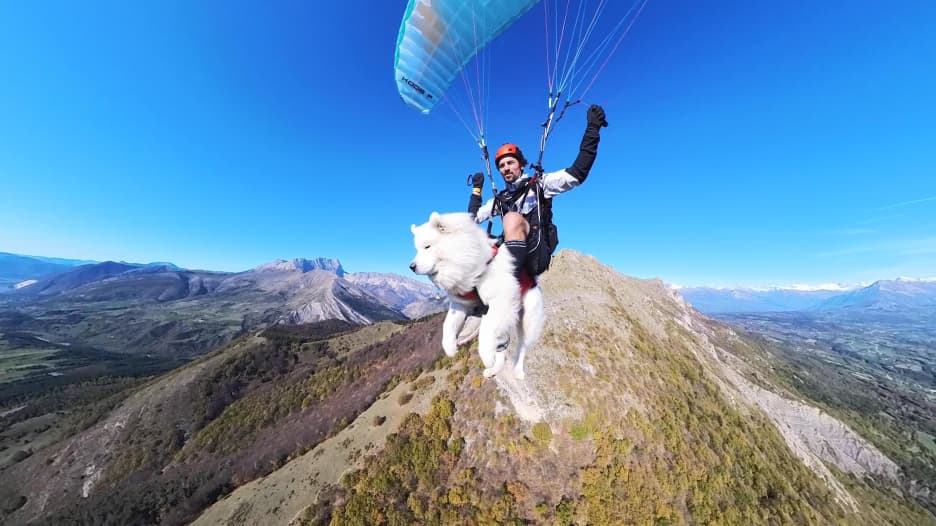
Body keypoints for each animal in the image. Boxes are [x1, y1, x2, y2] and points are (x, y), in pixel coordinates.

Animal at [406, 210, 544, 380]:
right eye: (417, 249)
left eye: (427, 246)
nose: (411, 267)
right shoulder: (461, 305)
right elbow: (448, 325)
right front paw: (450, 347)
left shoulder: (500, 301)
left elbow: (485, 331)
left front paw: (486, 356)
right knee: (502, 348)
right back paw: (494, 369)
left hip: (527, 319)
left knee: (522, 346)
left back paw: (517, 370)